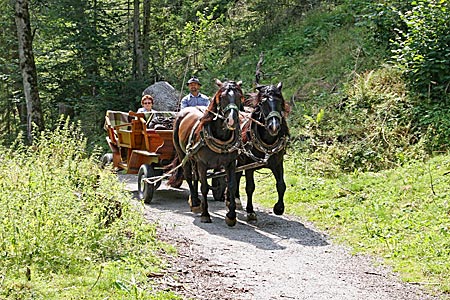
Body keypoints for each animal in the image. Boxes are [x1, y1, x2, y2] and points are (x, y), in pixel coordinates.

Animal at [171, 78, 243, 226]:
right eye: (222, 97)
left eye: (239, 96)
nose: (232, 121)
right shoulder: (203, 164)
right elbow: (204, 187)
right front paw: (205, 215)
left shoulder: (230, 163)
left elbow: (231, 185)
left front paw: (231, 216)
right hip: (183, 154)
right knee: (188, 176)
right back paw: (195, 203)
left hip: (193, 158)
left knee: (195, 177)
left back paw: (195, 201)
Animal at [237, 83, 290, 221]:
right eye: (262, 103)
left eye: (280, 100)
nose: (274, 126)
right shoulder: (249, 165)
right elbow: (250, 187)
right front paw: (250, 211)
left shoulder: (277, 163)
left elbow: (281, 185)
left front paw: (279, 208)